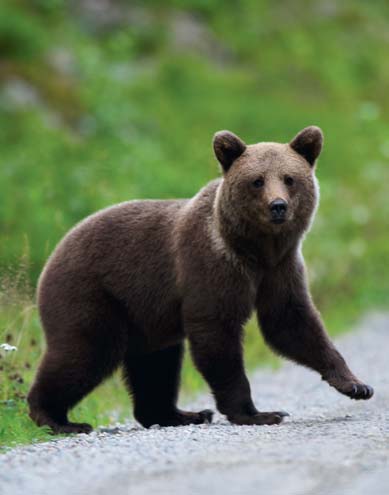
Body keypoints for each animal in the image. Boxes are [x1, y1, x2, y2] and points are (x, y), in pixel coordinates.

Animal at [28, 127, 372, 434]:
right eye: (257, 180)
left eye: (289, 178)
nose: (278, 206)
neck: (255, 250)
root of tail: (54, 252)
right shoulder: (210, 267)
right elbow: (218, 336)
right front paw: (258, 413)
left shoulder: (280, 269)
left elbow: (292, 322)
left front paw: (356, 384)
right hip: (90, 292)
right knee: (86, 351)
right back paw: (58, 418)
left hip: (145, 315)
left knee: (156, 364)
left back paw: (183, 414)